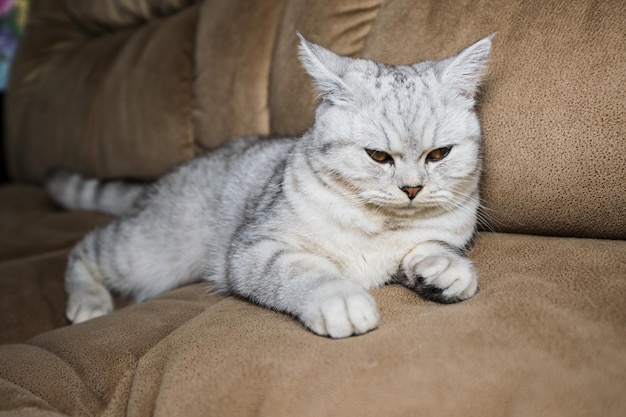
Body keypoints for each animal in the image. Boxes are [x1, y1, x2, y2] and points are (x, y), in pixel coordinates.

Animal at [46, 33, 490, 338]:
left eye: (439, 154)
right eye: (378, 156)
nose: (412, 189)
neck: (381, 224)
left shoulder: (429, 238)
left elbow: (429, 247)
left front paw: (443, 270)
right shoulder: (255, 249)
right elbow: (306, 272)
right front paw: (341, 299)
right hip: (150, 251)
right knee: (84, 249)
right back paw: (88, 302)